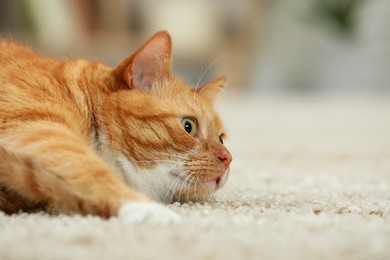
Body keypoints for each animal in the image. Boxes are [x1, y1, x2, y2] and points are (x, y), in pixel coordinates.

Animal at [0, 30, 232, 221]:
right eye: (188, 126)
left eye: (221, 139)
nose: (228, 159)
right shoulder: (37, 126)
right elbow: (90, 171)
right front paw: (148, 209)